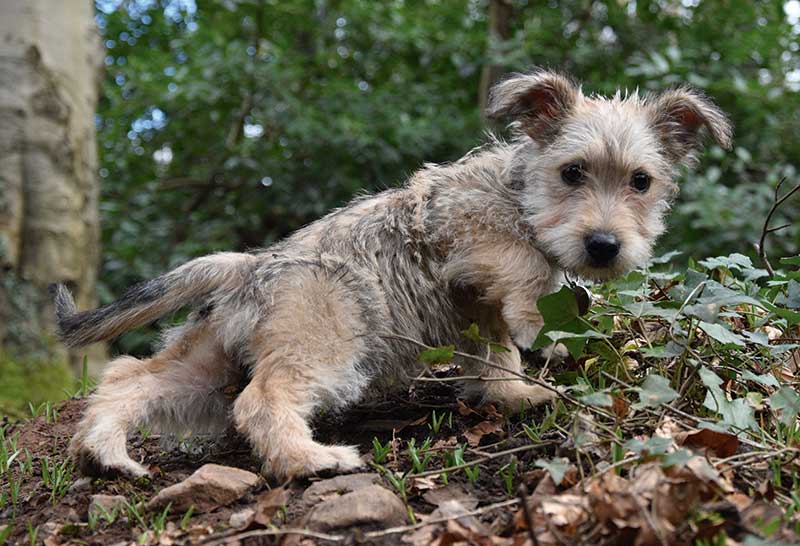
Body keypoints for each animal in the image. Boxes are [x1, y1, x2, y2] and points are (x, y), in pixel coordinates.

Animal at [51, 70, 732, 478]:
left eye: (641, 182)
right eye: (572, 172)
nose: (603, 246)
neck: (520, 193)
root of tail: (251, 265)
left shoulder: (475, 309)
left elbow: (496, 356)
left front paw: (516, 392)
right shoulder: (469, 236)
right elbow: (525, 278)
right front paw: (544, 329)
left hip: (204, 370)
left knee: (126, 378)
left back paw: (108, 452)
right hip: (323, 345)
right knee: (261, 402)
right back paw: (314, 460)